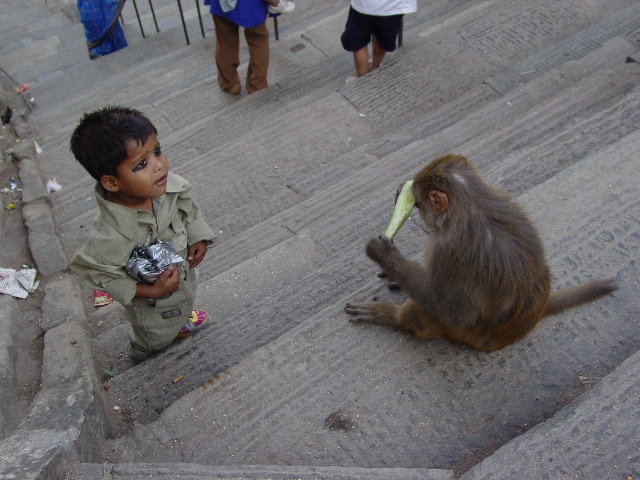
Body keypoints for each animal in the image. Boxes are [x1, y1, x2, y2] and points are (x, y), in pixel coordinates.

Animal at [348, 156, 616, 350]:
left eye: (420, 201)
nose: (402, 191)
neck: (472, 201)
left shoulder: (450, 249)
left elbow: (450, 308)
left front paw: (384, 254)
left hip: (460, 332)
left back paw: (391, 316)